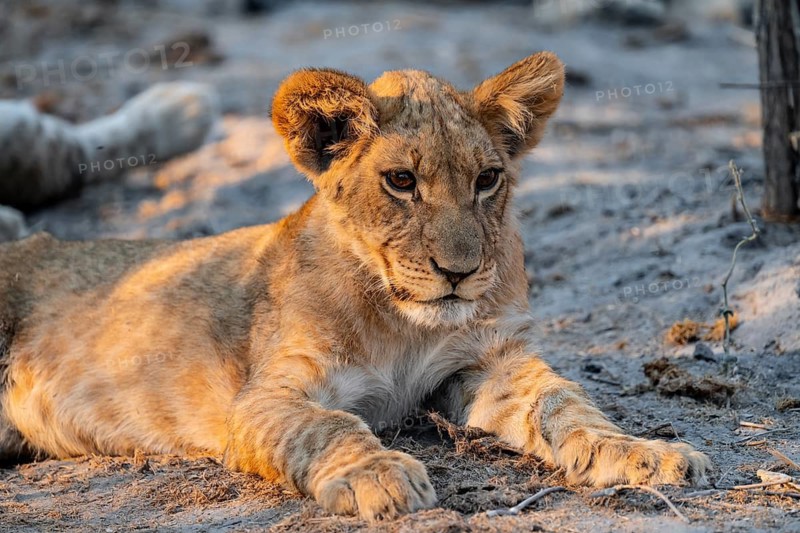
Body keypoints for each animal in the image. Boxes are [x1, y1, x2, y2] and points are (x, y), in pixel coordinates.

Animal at [0, 52, 709, 521]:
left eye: (487, 180)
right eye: (400, 181)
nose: (460, 272)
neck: (401, 322)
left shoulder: (485, 364)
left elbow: (567, 405)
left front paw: (644, 452)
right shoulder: (262, 398)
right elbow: (331, 426)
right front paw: (382, 476)